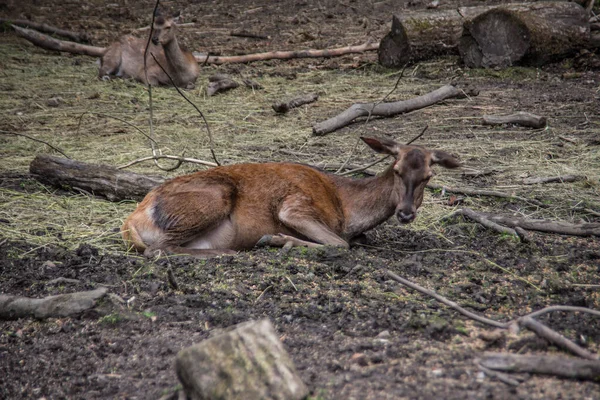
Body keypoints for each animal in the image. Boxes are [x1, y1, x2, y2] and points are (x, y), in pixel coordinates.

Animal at [122, 136, 460, 258]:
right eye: (397, 170)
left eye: (428, 177)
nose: (405, 212)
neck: (347, 208)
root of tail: (132, 219)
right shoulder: (294, 207)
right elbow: (341, 244)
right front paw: (276, 239)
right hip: (213, 198)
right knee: (157, 250)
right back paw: (230, 252)